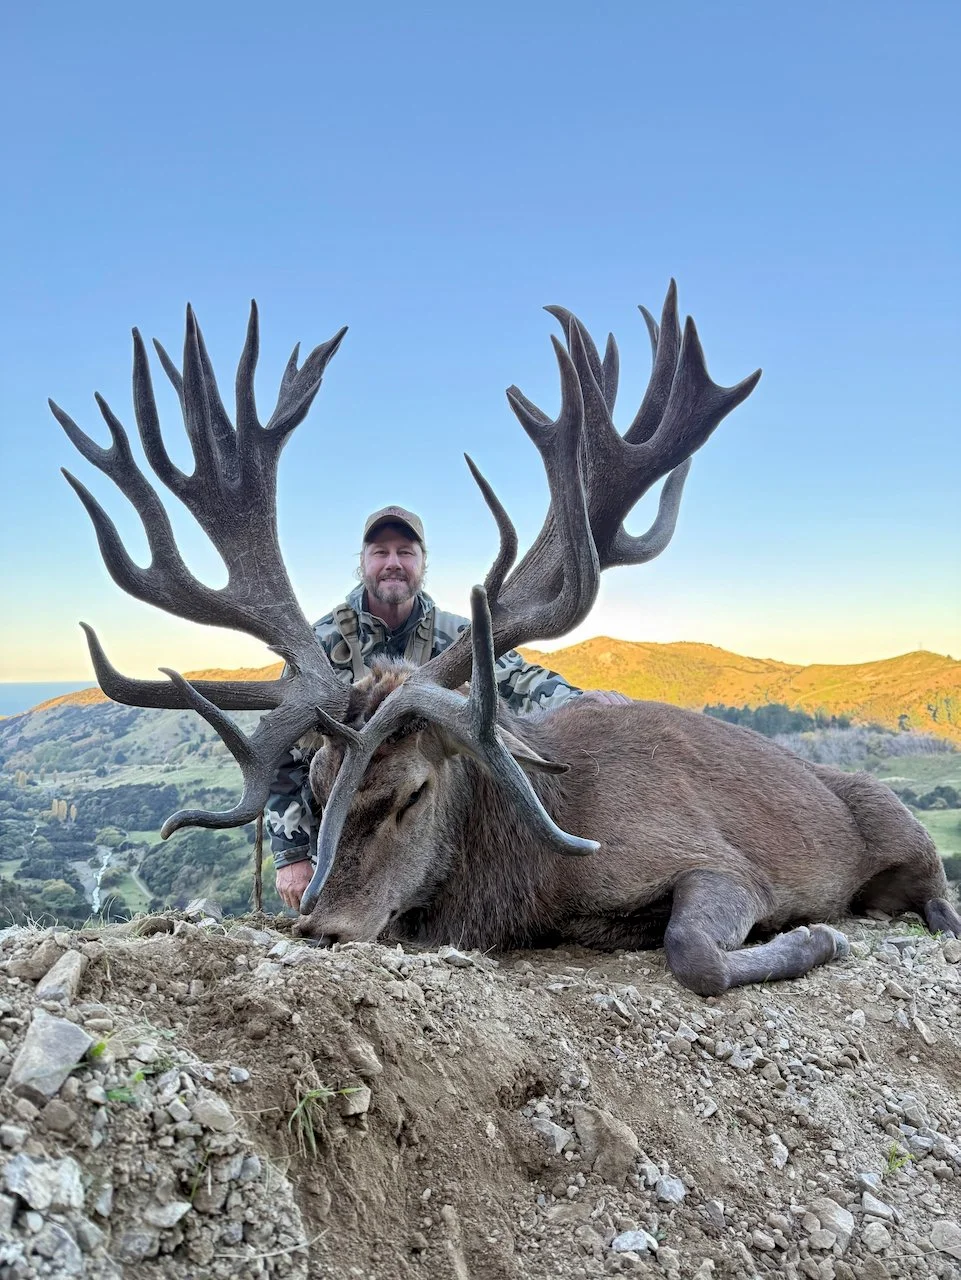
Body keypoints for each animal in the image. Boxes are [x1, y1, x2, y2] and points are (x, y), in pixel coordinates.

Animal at [53, 286, 960, 996]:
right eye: (311, 783)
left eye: (412, 792)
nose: (322, 924)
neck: (533, 862)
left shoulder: (720, 860)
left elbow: (692, 952)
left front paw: (814, 934)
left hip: (901, 829)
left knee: (933, 893)